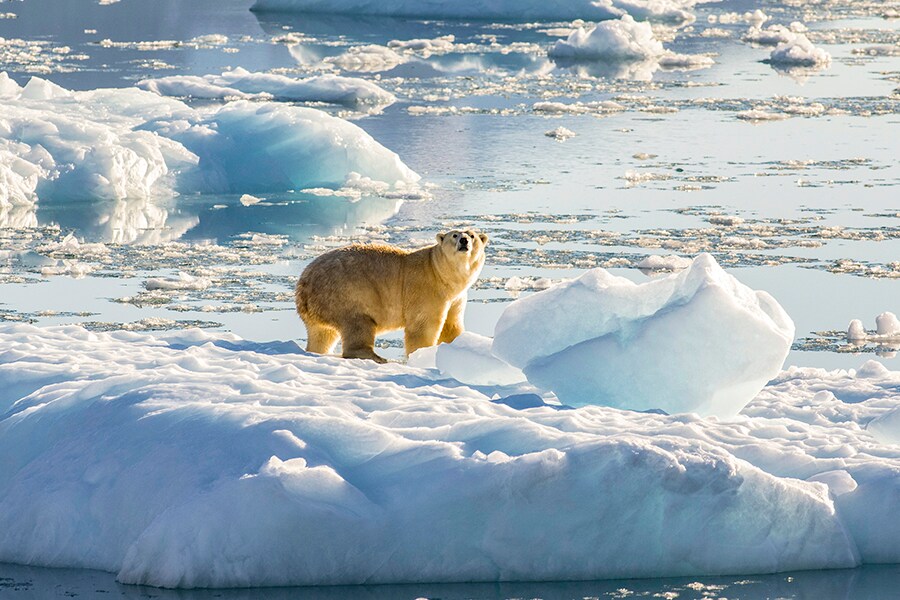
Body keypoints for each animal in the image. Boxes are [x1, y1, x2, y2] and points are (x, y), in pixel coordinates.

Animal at [296, 229, 488, 360]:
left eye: (472, 235)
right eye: (454, 235)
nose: (464, 240)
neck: (440, 272)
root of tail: (303, 283)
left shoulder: (456, 298)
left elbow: (451, 325)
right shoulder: (426, 289)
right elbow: (423, 326)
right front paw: (421, 355)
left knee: (322, 334)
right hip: (346, 292)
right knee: (358, 323)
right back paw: (377, 357)